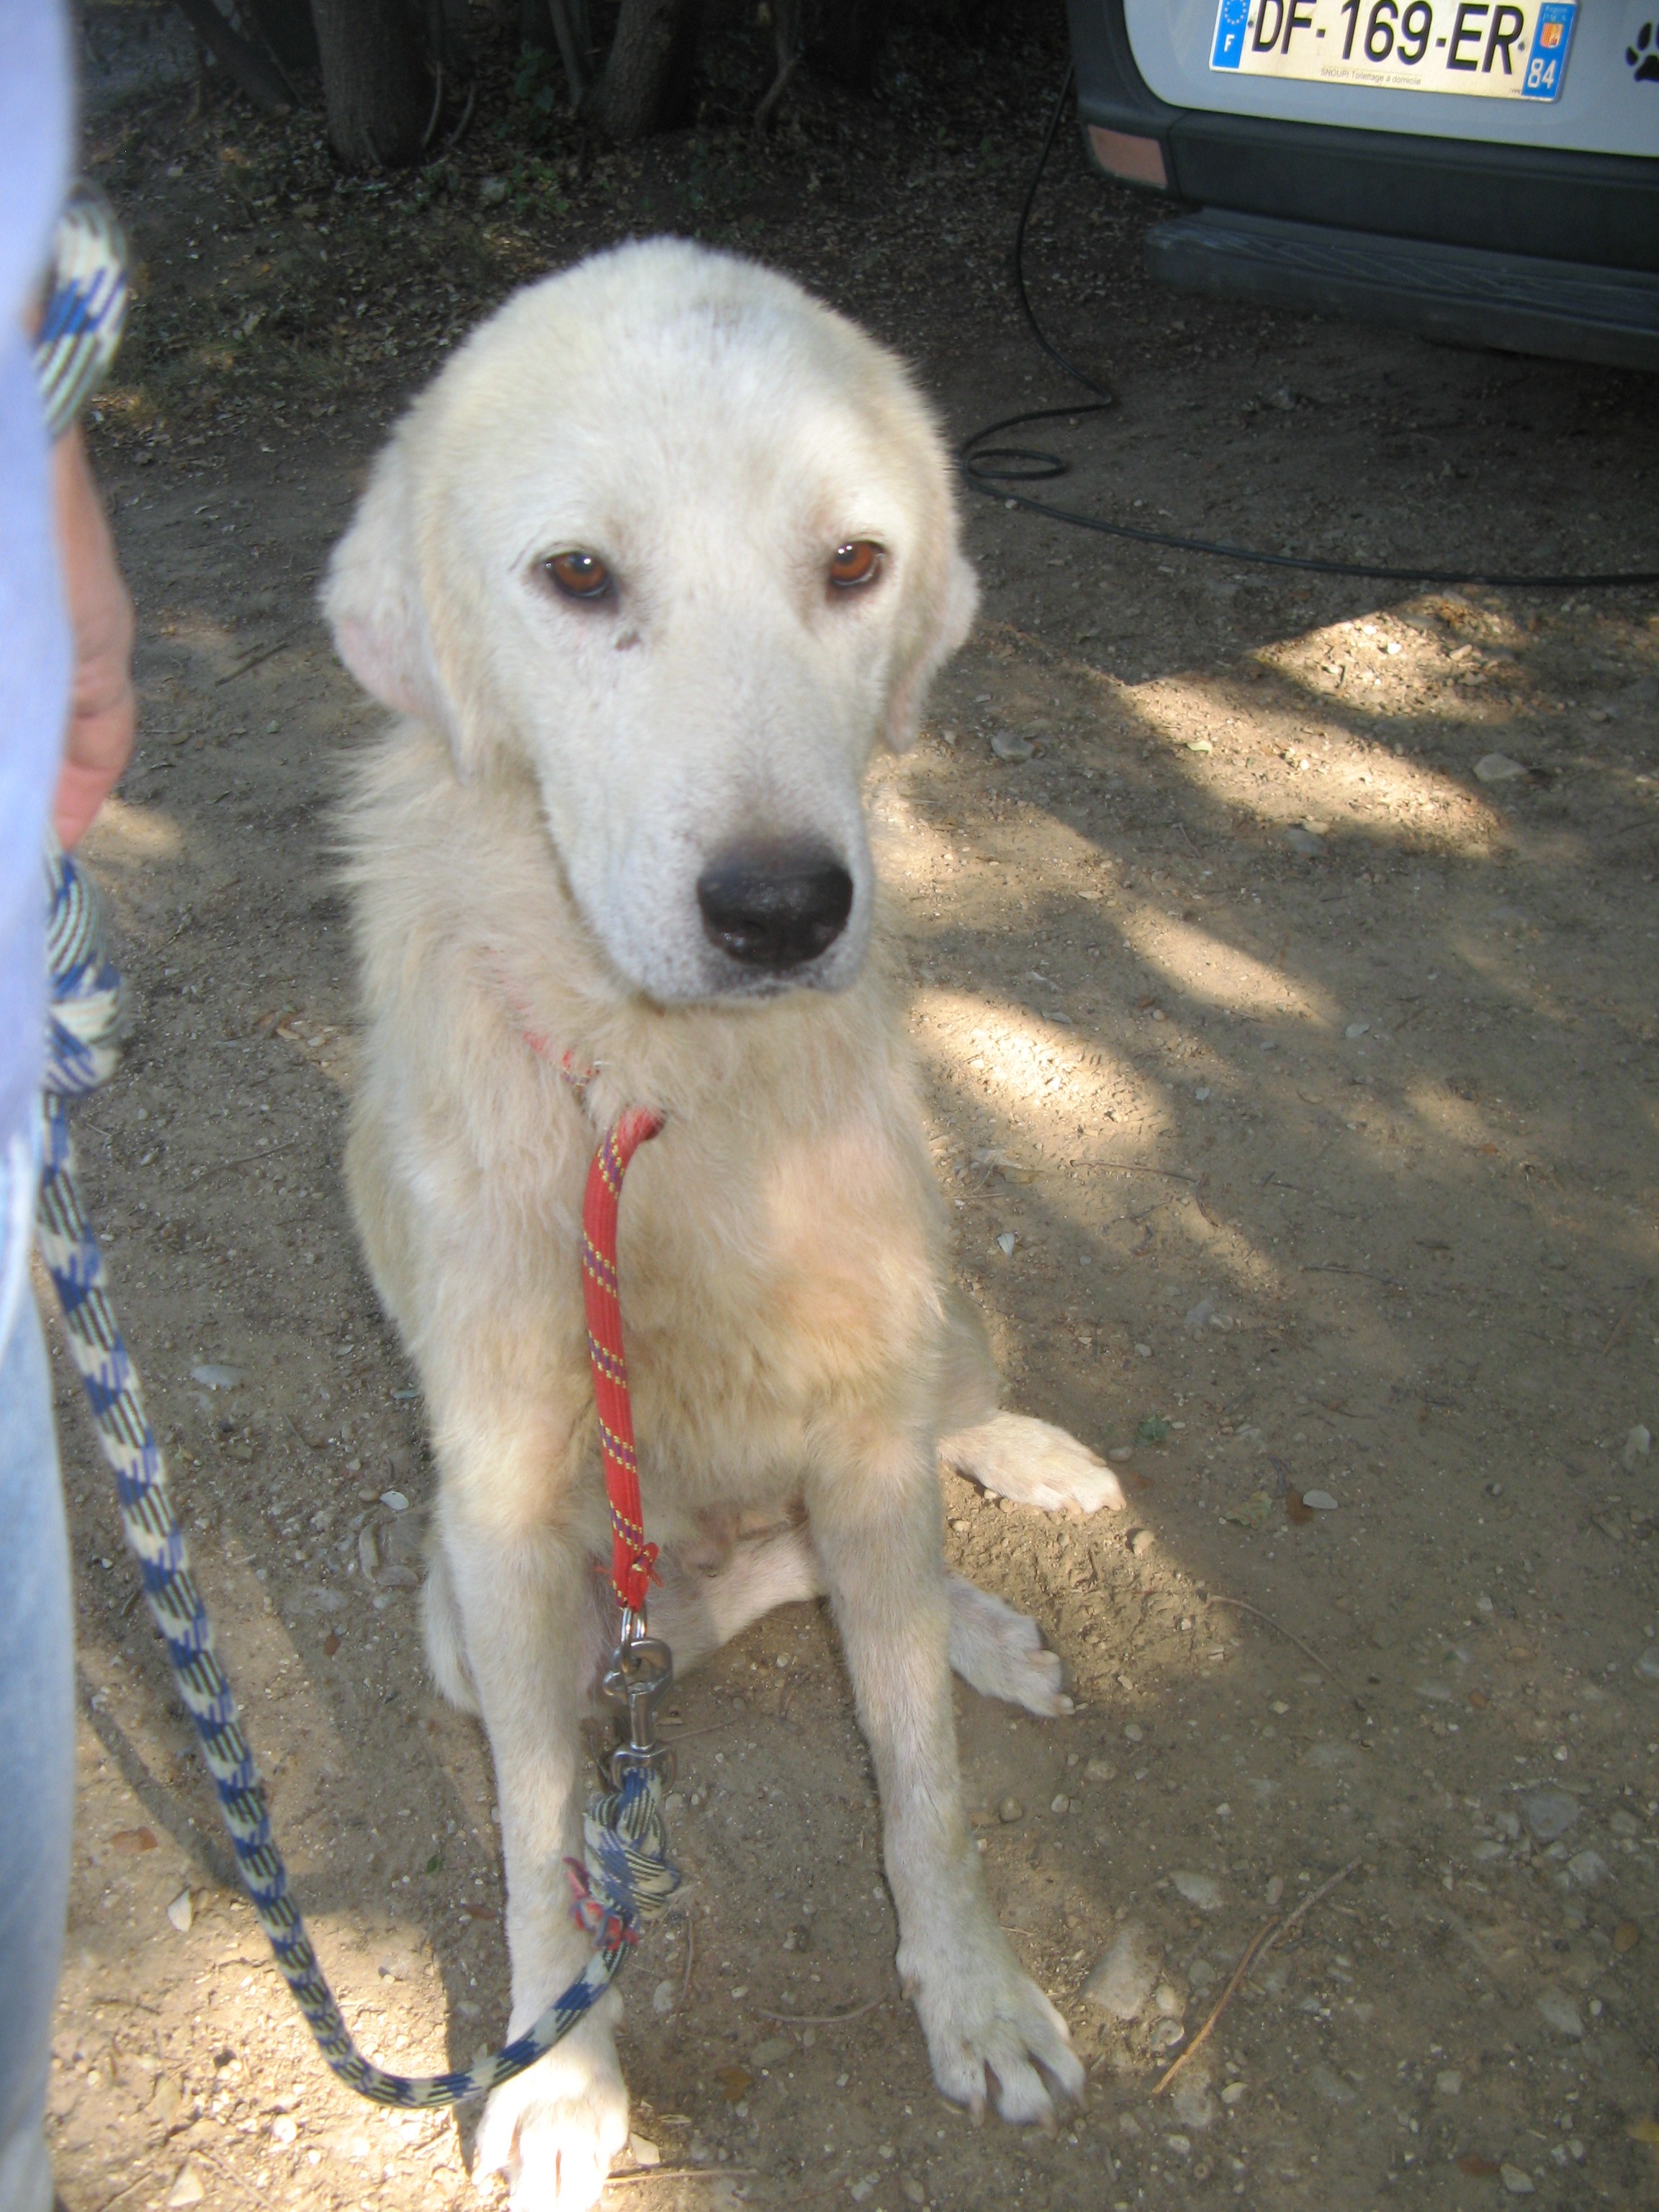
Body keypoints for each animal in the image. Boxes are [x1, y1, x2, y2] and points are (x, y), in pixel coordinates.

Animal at [320, 242, 1132, 2212]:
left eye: (852, 562)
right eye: (577, 577)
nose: (779, 911)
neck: (659, 1097)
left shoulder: (862, 1417)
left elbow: (922, 1783)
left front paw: (973, 1989)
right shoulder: (509, 1533)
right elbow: (547, 1842)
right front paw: (560, 2072)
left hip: (931, 1329)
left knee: (913, 1502)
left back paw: (1010, 1536)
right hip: (491, 1615)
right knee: (786, 1590)